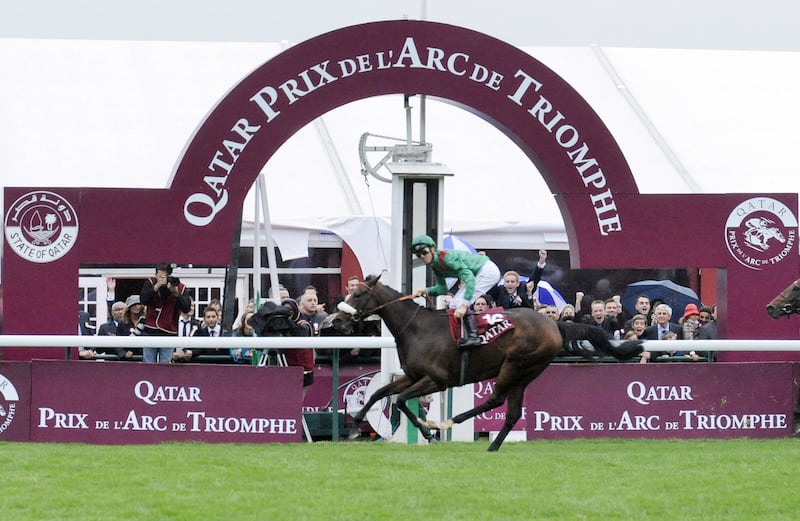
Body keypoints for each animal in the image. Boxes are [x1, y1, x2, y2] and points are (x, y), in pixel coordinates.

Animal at [318, 272, 644, 450]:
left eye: (359, 294)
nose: (337, 320)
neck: (418, 328)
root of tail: (555, 324)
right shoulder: (412, 375)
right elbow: (379, 393)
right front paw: (355, 424)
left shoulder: (436, 380)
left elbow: (399, 401)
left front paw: (429, 431)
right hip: (527, 372)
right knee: (511, 412)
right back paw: (493, 446)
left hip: (515, 364)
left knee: (496, 400)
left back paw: (454, 420)